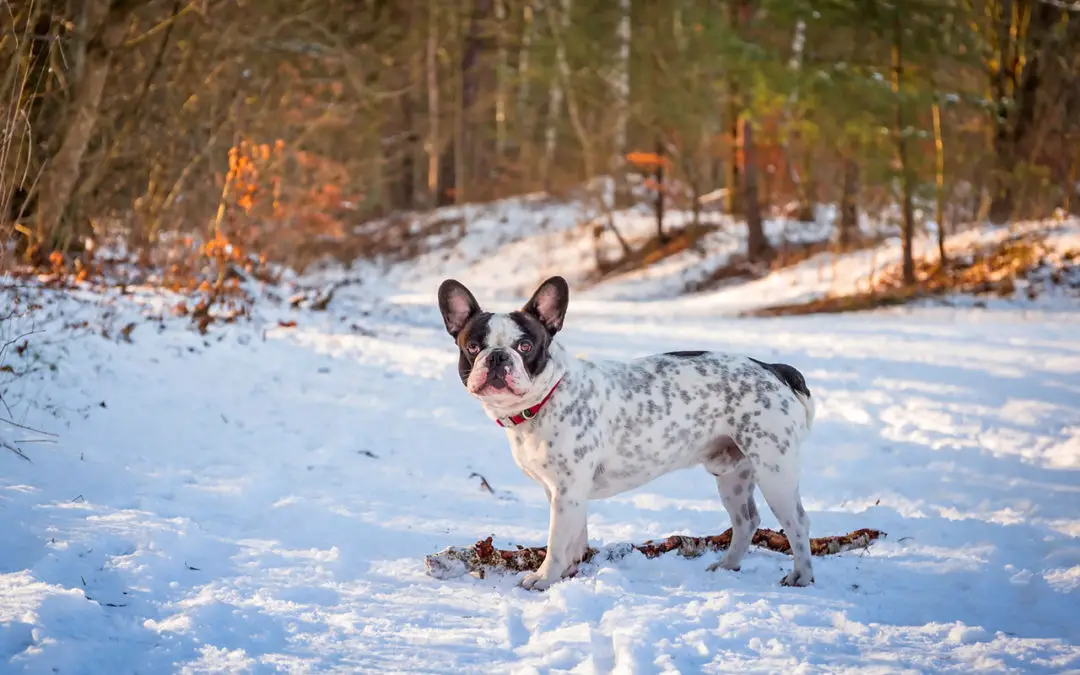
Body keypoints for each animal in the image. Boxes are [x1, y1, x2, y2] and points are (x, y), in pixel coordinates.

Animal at [434, 274, 812, 587]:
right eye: (472, 347)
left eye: (525, 346)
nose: (497, 357)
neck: (546, 397)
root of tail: (772, 368)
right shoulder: (565, 494)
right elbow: (575, 536)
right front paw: (569, 572)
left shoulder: (568, 492)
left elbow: (557, 540)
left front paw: (543, 578)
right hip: (732, 475)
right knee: (746, 521)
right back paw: (727, 566)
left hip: (775, 472)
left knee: (798, 523)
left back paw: (801, 576)